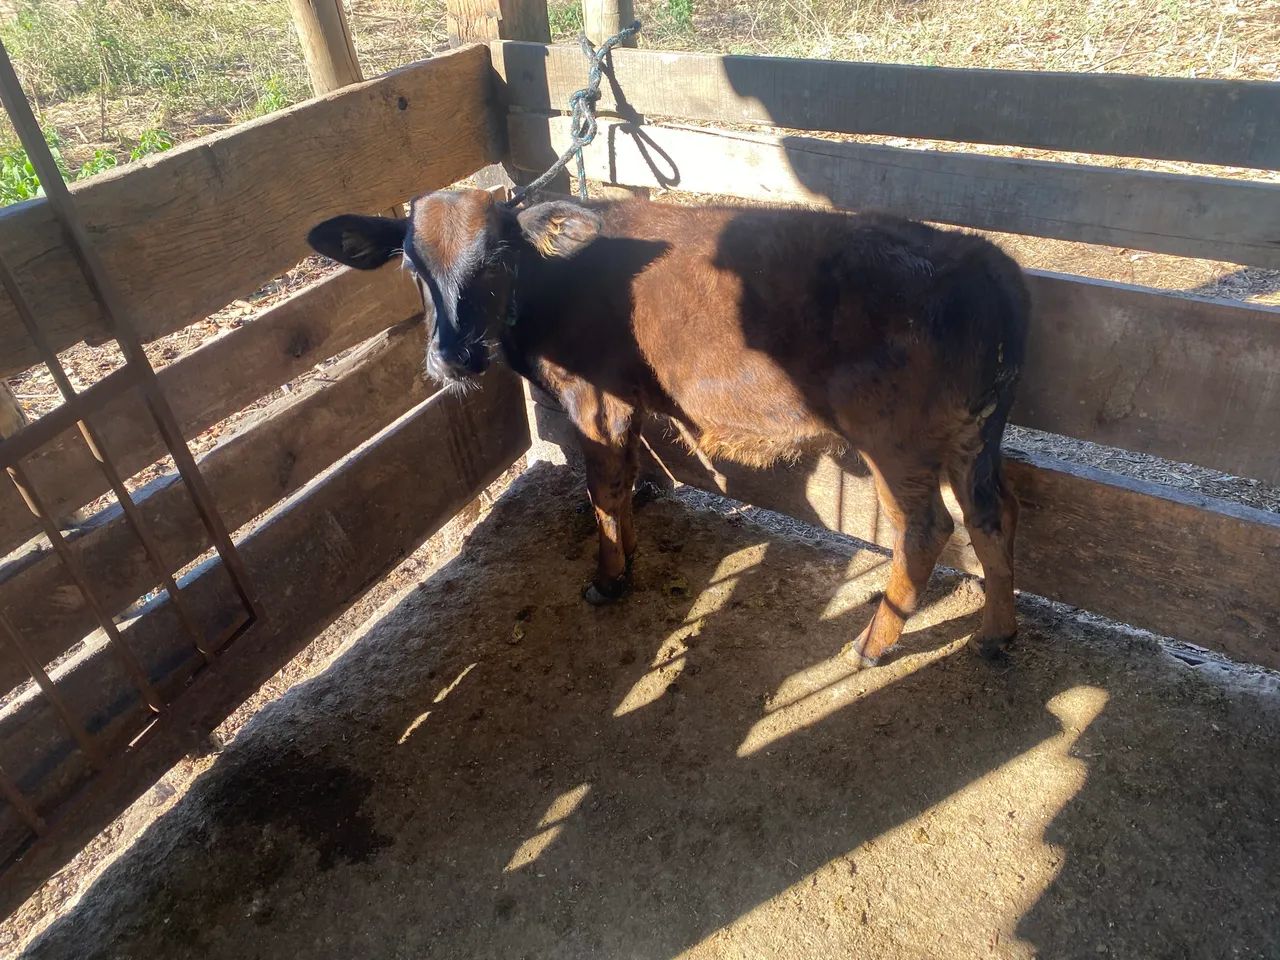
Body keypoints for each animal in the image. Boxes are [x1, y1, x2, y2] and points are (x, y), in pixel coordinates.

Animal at [307, 189, 1029, 668]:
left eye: (498, 259)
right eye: (411, 265)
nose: (454, 355)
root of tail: (982, 256)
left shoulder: (596, 398)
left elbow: (603, 489)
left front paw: (608, 578)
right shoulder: (625, 401)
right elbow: (626, 481)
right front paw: (629, 551)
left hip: (894, 437)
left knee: (927, 529)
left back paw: (873, 645)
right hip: (974, 434)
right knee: (994, 515)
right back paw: (996, 635)